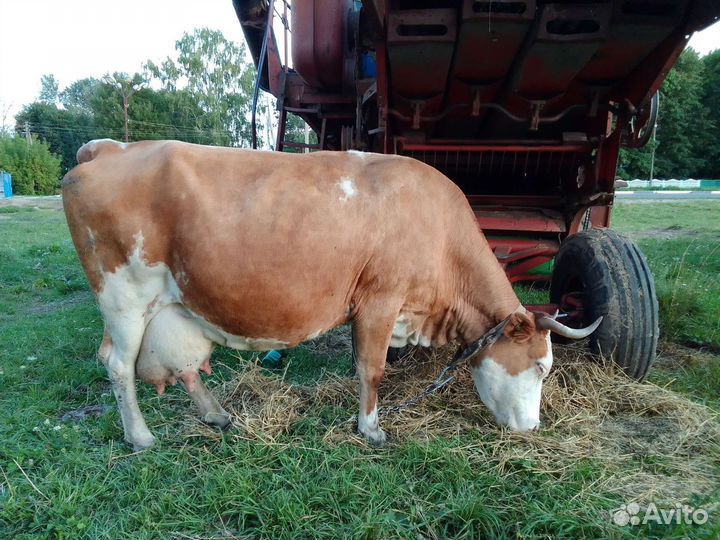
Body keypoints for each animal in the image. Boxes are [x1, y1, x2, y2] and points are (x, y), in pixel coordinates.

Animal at [62, 139, 600, 451]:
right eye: (540, 366)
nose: (532, 428)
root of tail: (109, 148)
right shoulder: (381, 299)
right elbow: (372, 369)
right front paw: (371, 429)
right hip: (124, 296)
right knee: (117, 364)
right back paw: (140, 437)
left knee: (184, 366)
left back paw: (216, 415)